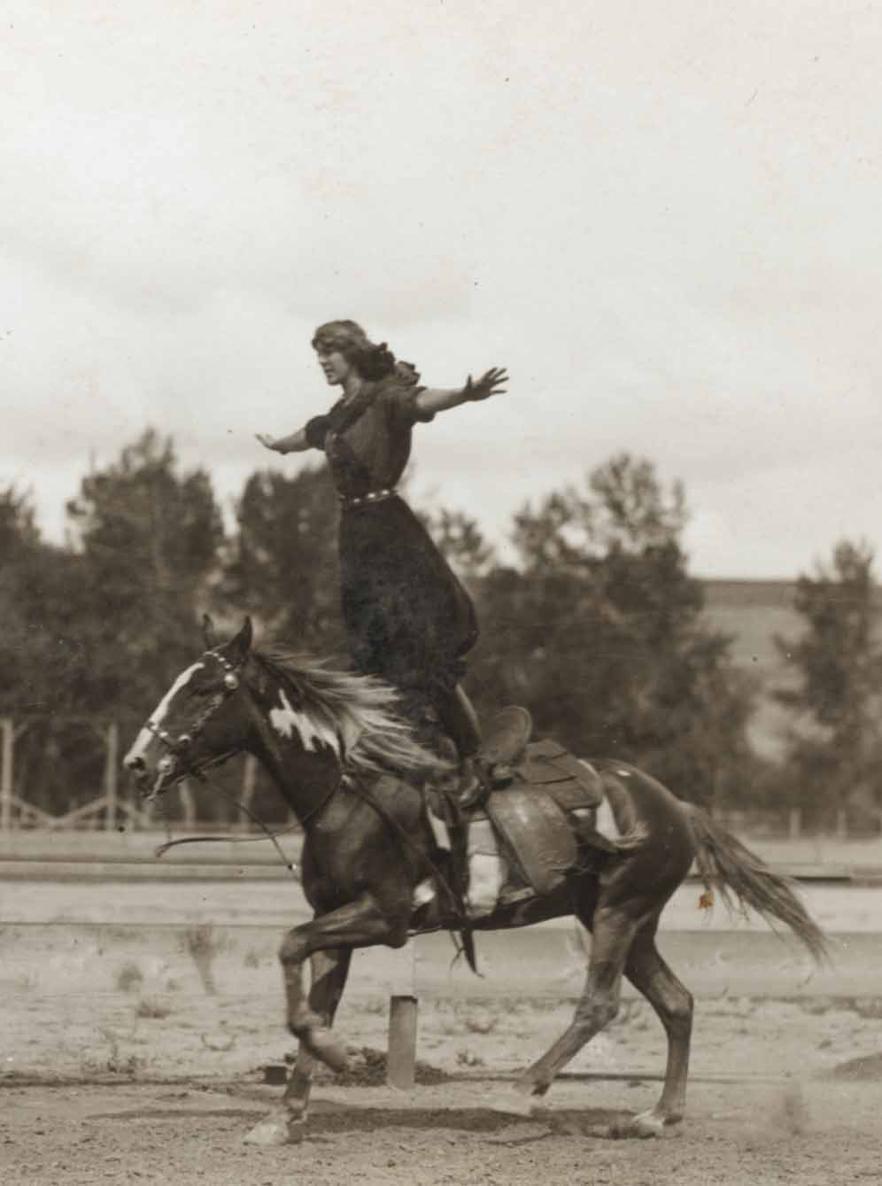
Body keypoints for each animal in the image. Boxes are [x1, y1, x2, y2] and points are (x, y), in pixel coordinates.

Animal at [123, 616, 825, 1143]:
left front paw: (340, 1057)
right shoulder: (337, 924)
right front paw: (288, 1112)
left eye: (205, 690)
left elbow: (289, 947)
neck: (353, 792)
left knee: (600, 1004)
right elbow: (310, 1000)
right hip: (633, 923)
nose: (136, 763)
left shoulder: (385, 917)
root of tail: (675, 805)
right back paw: (656, 1116)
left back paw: (523, 1091)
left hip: (618, 915)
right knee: (676, 1003)